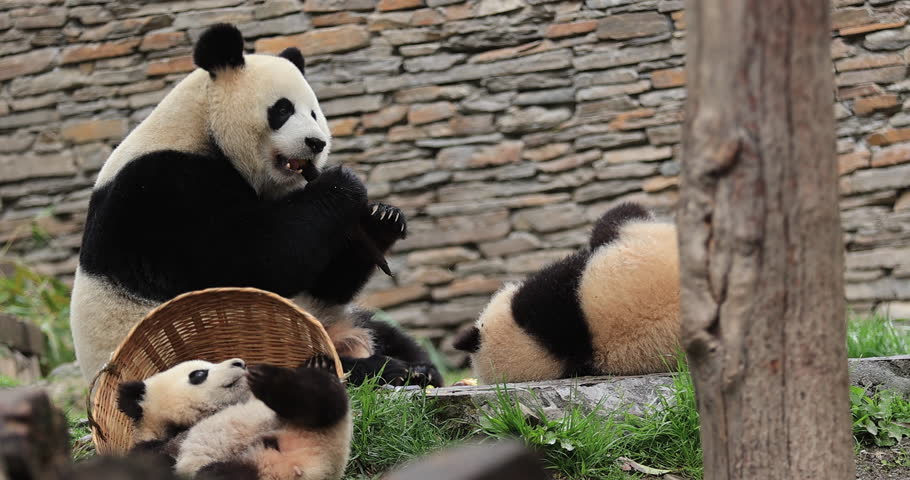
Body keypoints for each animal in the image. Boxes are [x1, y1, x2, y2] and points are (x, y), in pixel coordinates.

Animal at [69, 23, 441, 388]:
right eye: (282, 109)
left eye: (314, 113)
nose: (316, 143)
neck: (201, 127)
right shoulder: (163, 190)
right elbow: (255, 259)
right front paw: (343, 182)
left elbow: (323, 279)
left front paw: (383, 218)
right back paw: (387, 370)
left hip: (334, 316)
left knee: (386, 332)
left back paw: (420, 369)